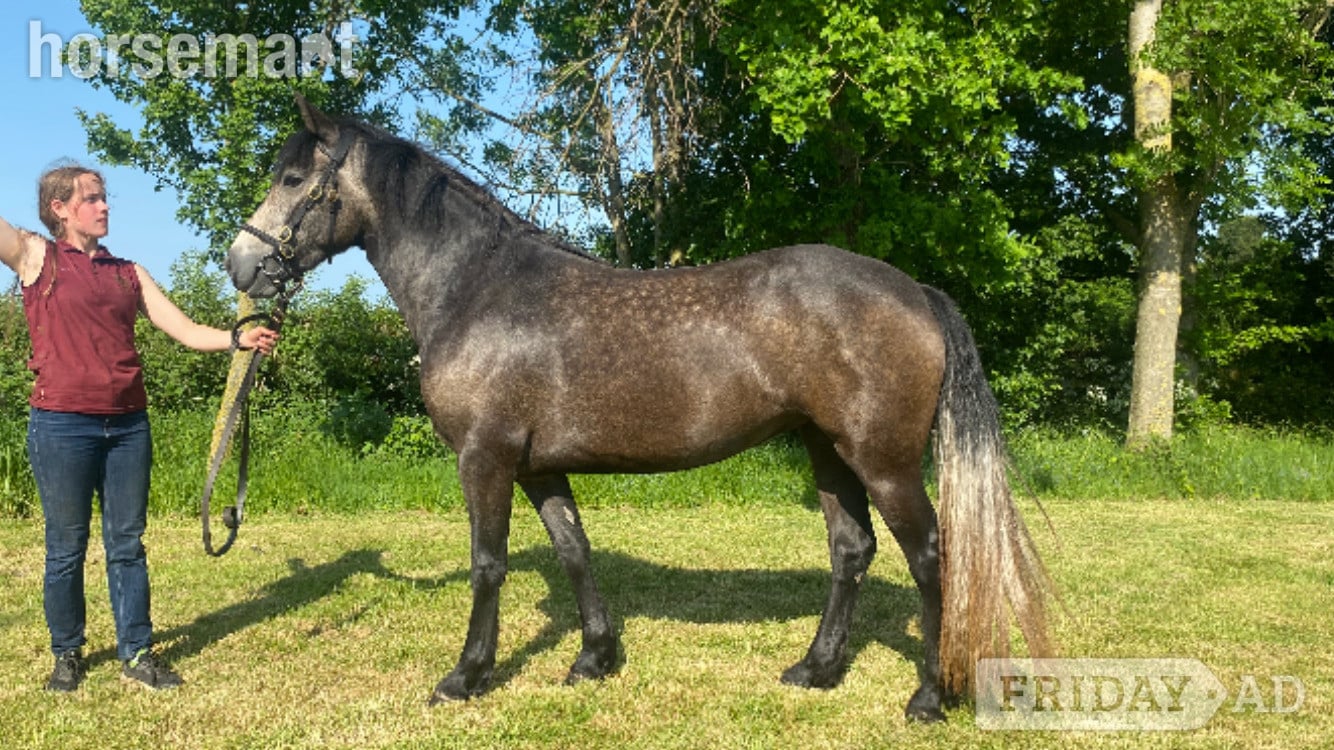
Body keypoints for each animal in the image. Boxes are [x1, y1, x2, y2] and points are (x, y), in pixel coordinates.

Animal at [226, 94, 1052, 722]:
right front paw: (594, 658)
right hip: (827, 450)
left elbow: (488, 564)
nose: (241, 264)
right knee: (851, 550)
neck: (477, 288)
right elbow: (574, 550)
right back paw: (814, 670)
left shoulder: (485, 458)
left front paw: (466, 676)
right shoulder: (537, 467)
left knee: (930, 556)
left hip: (884, 460)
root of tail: (914, 290)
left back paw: (926, 699)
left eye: (295, 177)